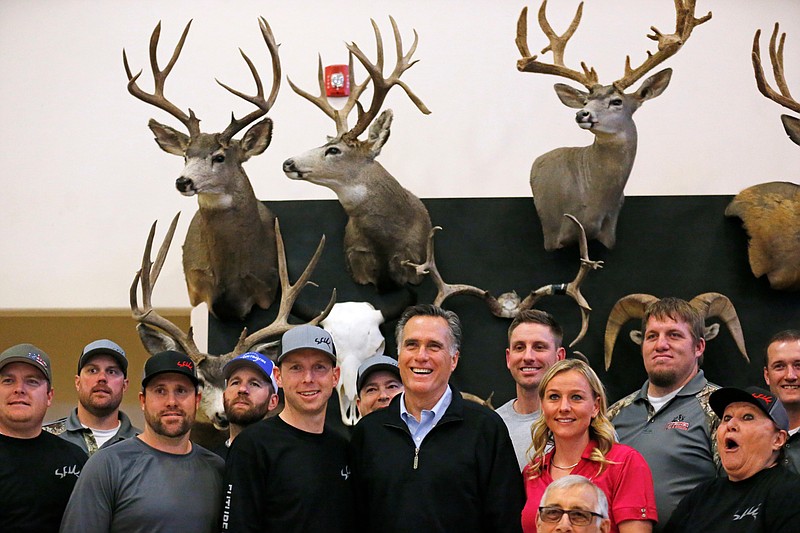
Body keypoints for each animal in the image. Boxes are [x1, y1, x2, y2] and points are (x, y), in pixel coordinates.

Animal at [520, 1, 712, 250]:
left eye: (617, 101)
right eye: (585, 101)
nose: (582, 114)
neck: (591, 204)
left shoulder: (610, 230)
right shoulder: (554, 230)